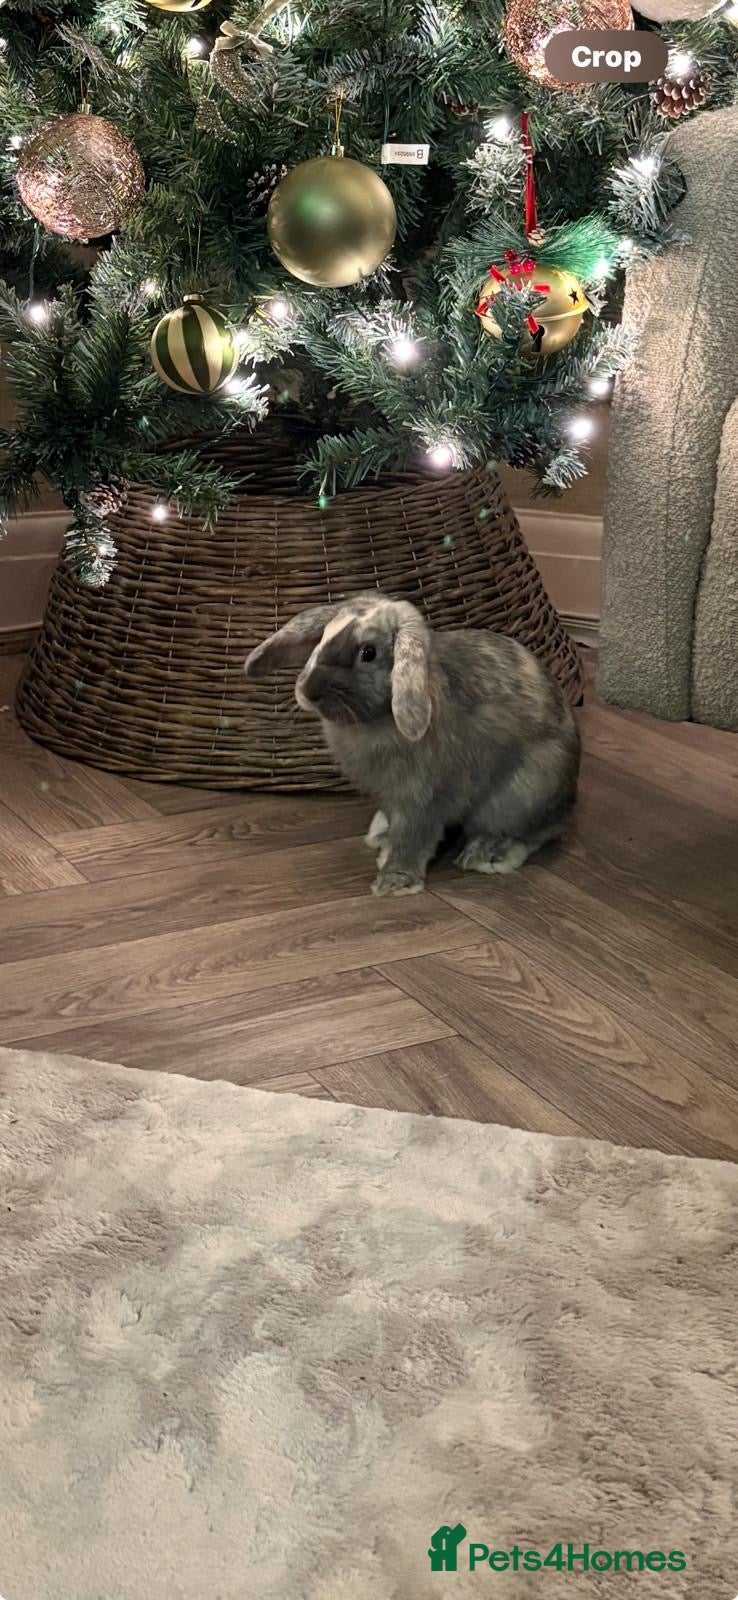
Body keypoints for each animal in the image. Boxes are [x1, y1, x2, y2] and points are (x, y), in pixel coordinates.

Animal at [245, 592, 580, 897]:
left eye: (368, 653)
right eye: (322, 638)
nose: (308, 691)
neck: (377, 720)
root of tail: (570, 794)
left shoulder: (423, 796)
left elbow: (414, 837)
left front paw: (394, 883)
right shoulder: (390, 795)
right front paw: (384, 844)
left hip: (523, 792)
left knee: (536, 831)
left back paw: (488, 853)